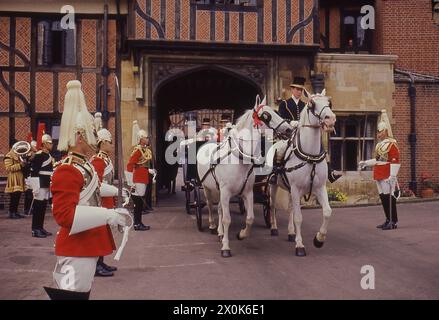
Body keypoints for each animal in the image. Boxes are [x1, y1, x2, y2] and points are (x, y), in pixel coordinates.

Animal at [198, 95, 294, 258]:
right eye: (266, 115)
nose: (289, 129)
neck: (239, 158)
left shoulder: (247, 192)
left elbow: (249, 218)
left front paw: (242, 234)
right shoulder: (225, 192)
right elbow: (227, 219)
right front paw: (225, 247)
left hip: (219, 190)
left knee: (219, 209)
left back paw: (220, 232)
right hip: (207, 188)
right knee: (211, 206)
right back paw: (212, 225)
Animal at [268, 89, 336, 256]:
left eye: (329, 102)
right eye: (312, 104)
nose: (331, 119)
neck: (310, 156)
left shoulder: (319, 187)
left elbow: (327, 212)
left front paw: (319, 239)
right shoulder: (295, 188)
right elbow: (299, 217)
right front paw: (300, 246)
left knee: (290, 208)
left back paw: (291, 233)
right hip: (274, 185)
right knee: (272, 205)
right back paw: (274, 228)